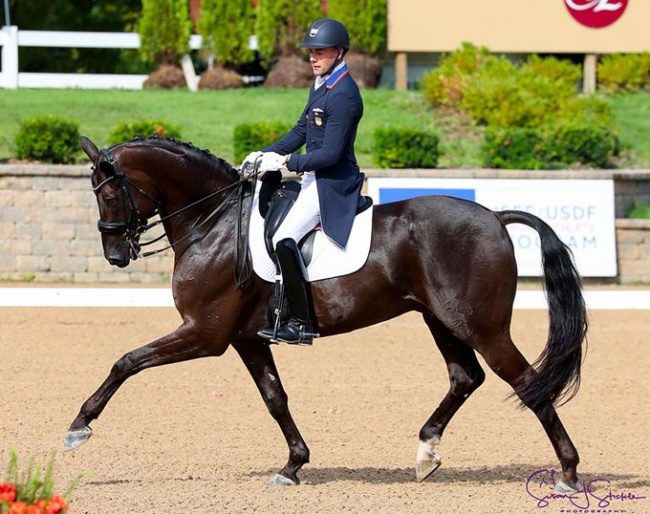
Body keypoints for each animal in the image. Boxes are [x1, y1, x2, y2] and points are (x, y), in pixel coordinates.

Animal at [67, 135, 588, 488]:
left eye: (108, 194)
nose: (115, 255)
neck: (212, 222)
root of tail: (495, 217)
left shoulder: (204, 333)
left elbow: (127, 361)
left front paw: (79, 427)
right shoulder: (244, 338)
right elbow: (275, 398)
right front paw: (293, 465)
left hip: (482, 327)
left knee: (527, 383)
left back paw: (568, 471)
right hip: (440, 319)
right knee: (466, 378)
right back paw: (426, 452)